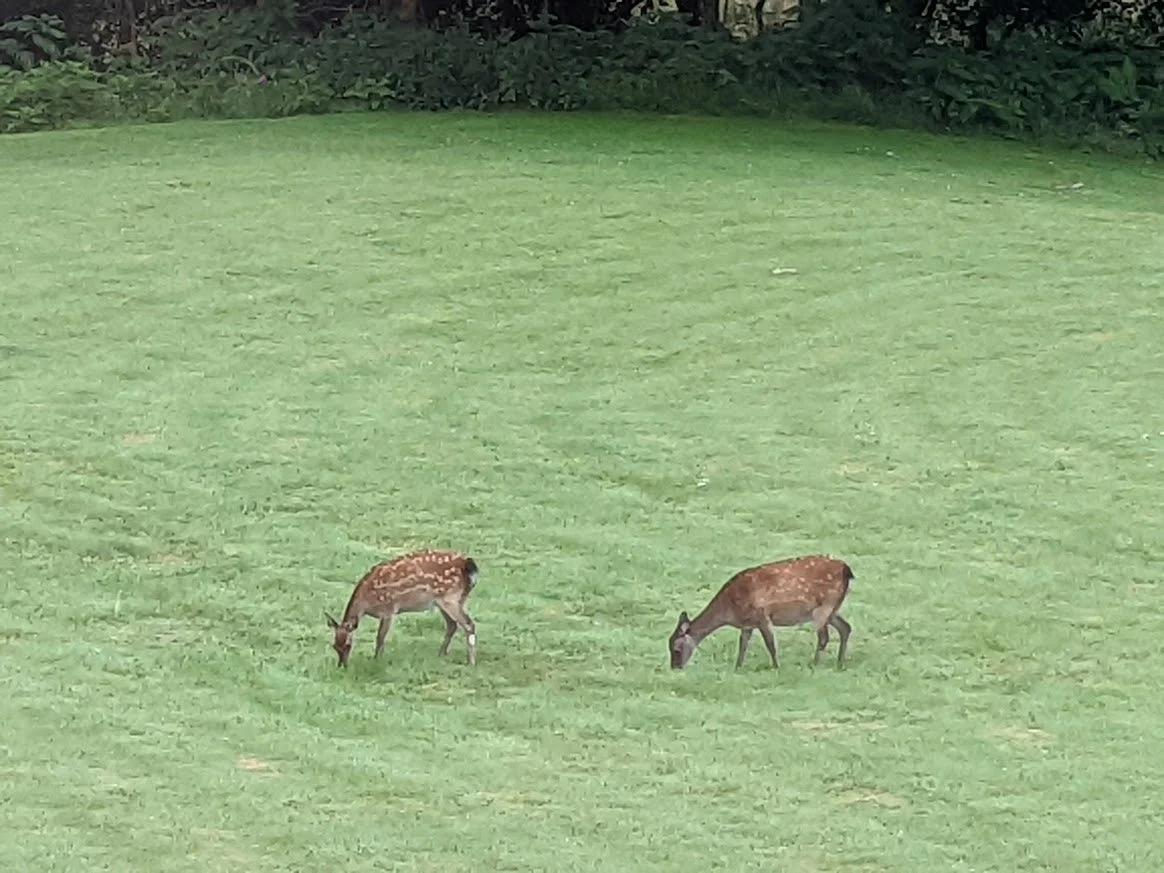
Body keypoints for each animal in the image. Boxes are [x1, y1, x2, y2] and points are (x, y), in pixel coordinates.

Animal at [325, 550, 480, 668]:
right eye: (334, 646)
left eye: (348, 645)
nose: (342, 665)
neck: (367, 601)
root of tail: (469, 566)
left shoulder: (389, 610)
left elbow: (380, 637)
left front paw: (377, 660)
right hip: (447, 600)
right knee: (452, 625)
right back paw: (441, 654)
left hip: (450, 598)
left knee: (469, 624)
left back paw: (471, 662)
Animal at [668, 554, 854, 671]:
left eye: (676, 649)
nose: (675, 667)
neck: (731, 609)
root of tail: (847, 570)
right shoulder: (748, 623)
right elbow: (743, 644)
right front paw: (737, 668)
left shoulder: (761, 615)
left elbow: (770, 644)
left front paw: (776, 667)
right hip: (833, 608)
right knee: (846, 627)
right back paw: (840, 663)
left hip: (823, 606)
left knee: (824, 636)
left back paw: (813, 664)